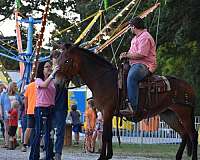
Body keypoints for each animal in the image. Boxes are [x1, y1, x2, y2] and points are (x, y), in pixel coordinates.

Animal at [57, 43, 198, 160]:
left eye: (67, 60)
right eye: (59, 60)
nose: (57, 80)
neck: (103, 79)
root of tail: (189, 86)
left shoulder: (107, 112)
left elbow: (105, 135)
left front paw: (102, 157)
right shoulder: (108, 114)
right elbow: (109, 135)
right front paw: (108, 155)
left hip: (183, 113)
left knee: (193, 134)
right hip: (169, 114)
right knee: (184, 134)